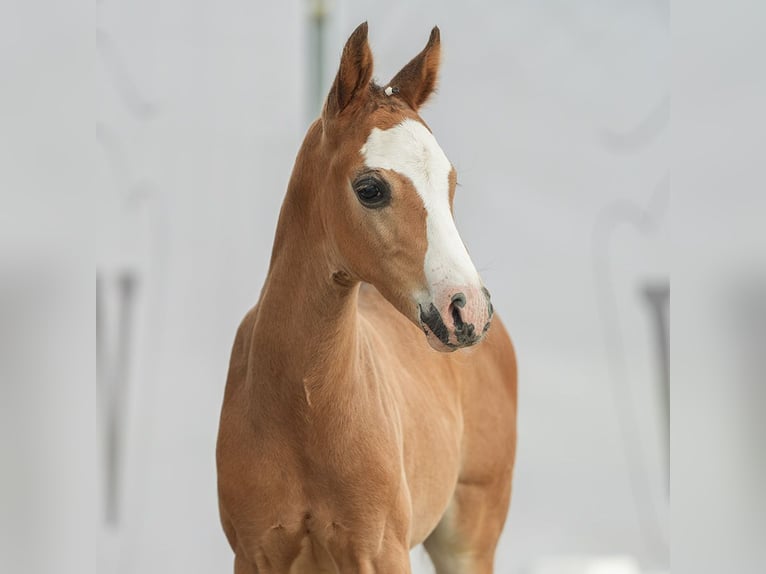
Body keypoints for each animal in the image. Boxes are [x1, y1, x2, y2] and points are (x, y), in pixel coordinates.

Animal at [216, 23, 520, 574]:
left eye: (450, 183)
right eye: (371, 188)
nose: (467, 308)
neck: (304, 405)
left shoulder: (380, 551)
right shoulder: (255, 551)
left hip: (469, 536)